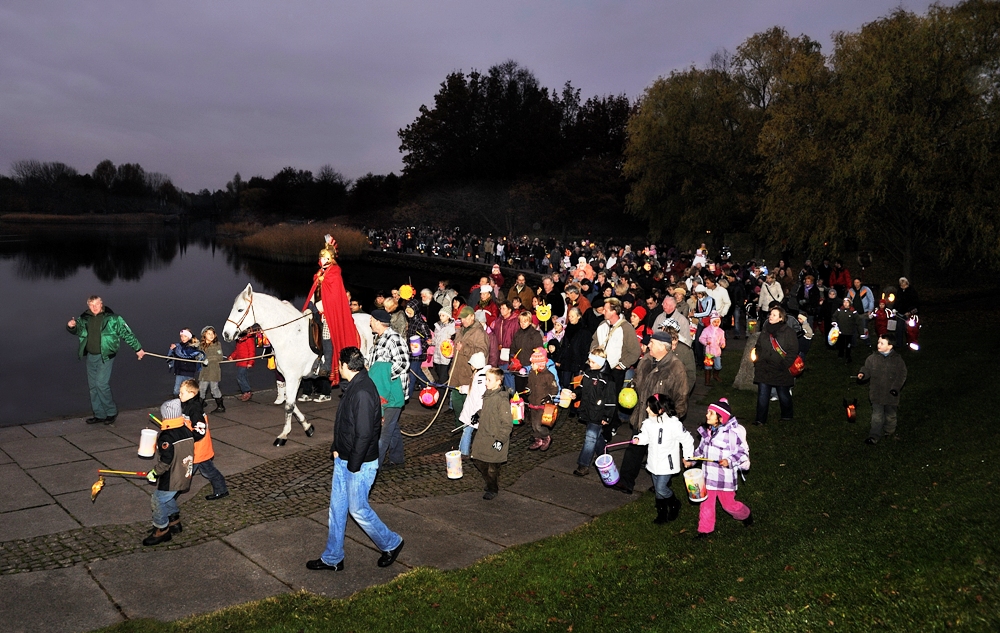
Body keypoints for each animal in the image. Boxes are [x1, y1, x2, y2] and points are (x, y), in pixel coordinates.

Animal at [223, 284, 316, 446]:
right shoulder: (291, 377)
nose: (226, 334)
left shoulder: (293, 377)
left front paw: (283, 435)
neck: (290, 334)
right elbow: (290, 402)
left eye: (240, 309)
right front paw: (307, 426)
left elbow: (289, 406)